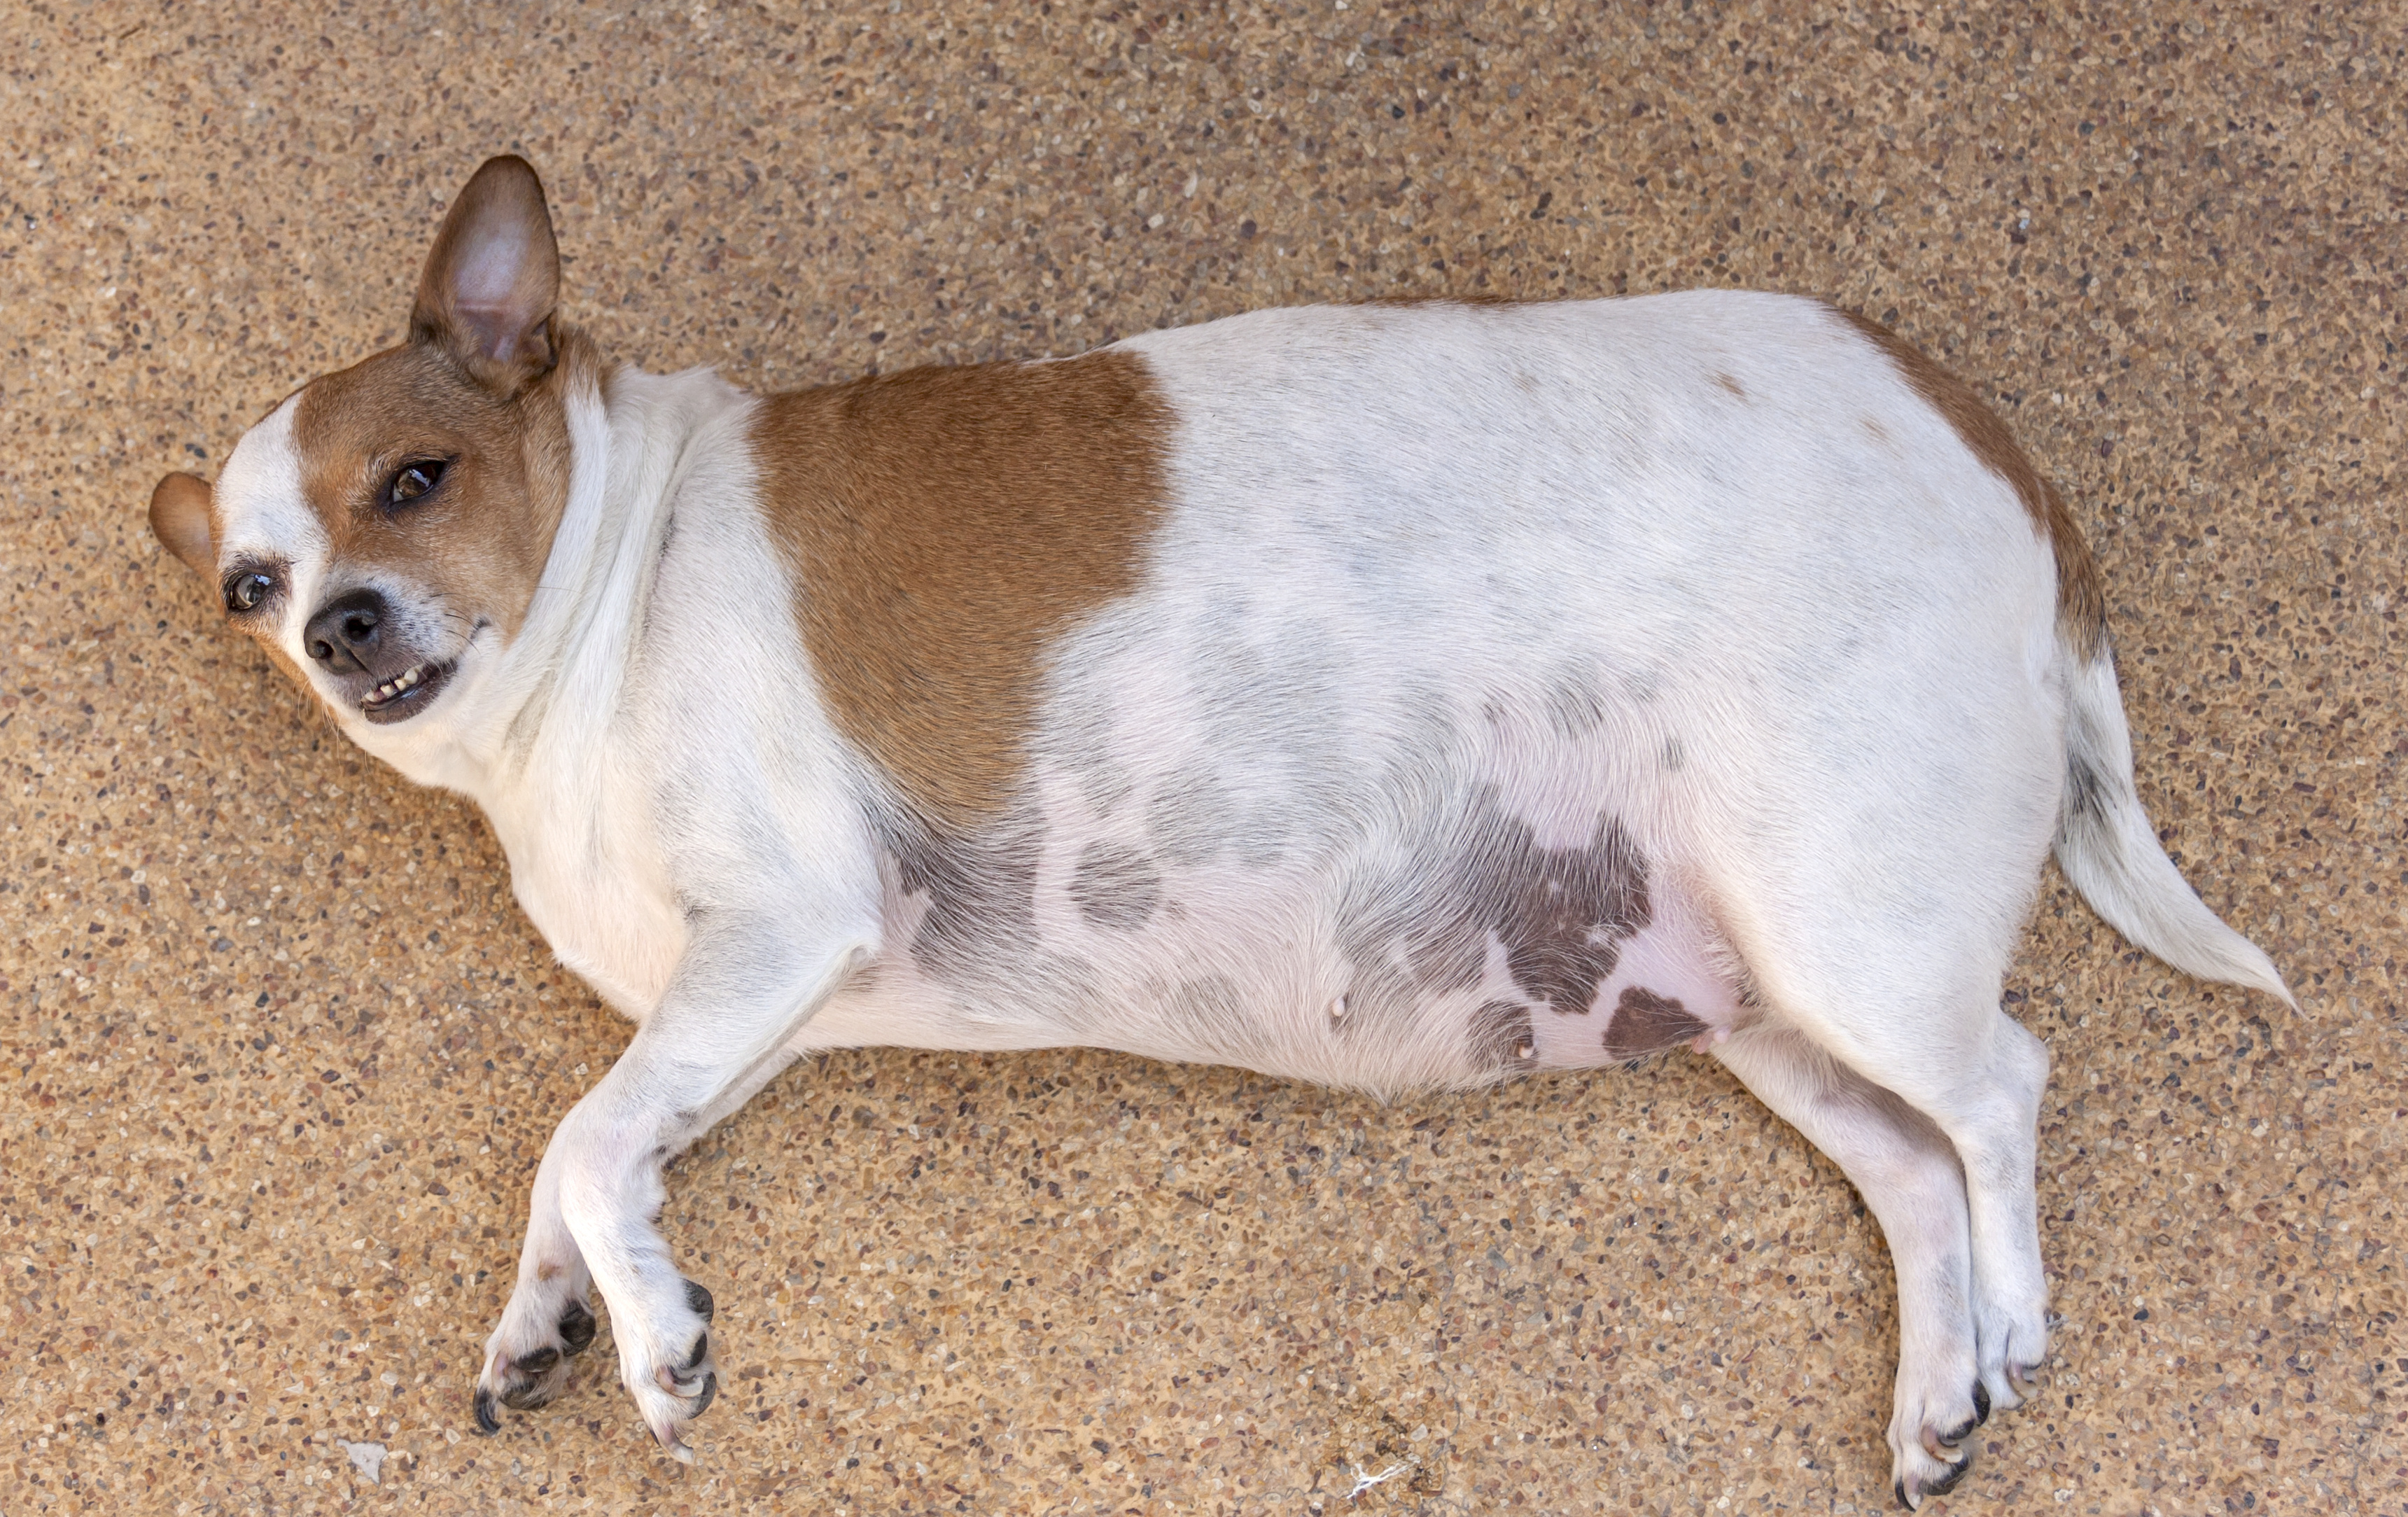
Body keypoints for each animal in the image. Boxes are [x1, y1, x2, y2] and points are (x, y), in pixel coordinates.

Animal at [150, 158, 2292, 1512]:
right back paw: (1938, 1390)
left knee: (2001, 1090)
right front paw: (555, 1309)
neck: (610, 581)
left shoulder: (775, 929)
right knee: (1915, 1165)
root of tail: (1981, 433)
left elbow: (584, 1132)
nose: (336, 630)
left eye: (417, 481)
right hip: (1759, 995)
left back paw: (2012, 1317)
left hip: (1851, 925)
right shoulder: (746, 1009)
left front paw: (656, 1339)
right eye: (252, 582)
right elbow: (590, 1149)